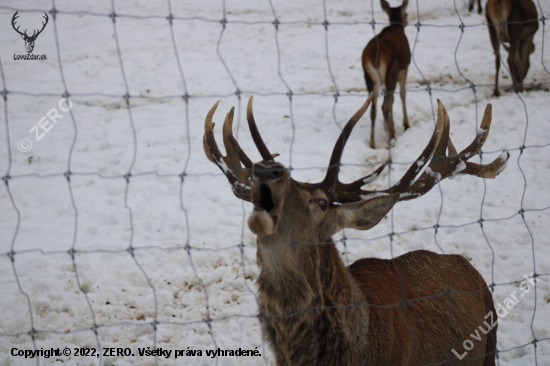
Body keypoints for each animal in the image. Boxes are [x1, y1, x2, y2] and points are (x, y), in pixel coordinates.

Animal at [364, 0, 412, 149]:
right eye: (406, 13)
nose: (407, 21)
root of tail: (374, 57)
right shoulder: (404, 70)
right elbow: (402, 95)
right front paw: (405, 124)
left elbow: (393, 101)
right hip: (391, 73)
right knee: (383, 106)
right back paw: (391, 137)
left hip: (370, 78)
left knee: (373, 108)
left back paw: (372, 143)